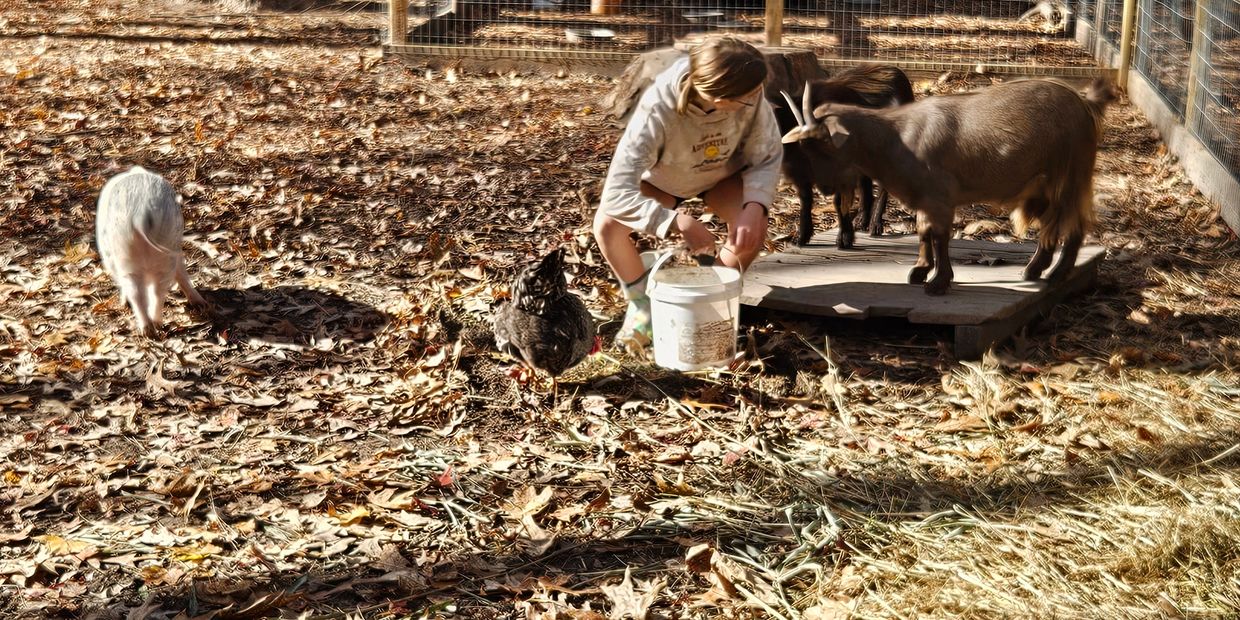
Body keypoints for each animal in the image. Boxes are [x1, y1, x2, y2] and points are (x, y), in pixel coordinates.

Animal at [770, 64, 914, 248]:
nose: (826, 188)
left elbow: (839, 201)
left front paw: (845, 238)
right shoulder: (799, 173)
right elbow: (805, 201)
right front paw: (801, 237)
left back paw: (875, 225)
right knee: (866, 182)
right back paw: (862, 220)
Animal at [782, 78, 1116, 295]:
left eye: (822, 145)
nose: (825, 188)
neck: (895, 136)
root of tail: (1086, 104)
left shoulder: (939, 197)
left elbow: (940, 238)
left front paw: (938, 282)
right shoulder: (924, 198)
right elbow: (923, 233)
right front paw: (919, 271)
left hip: (1071, 177)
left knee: (1074, 226)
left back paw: (1057, 275)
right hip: (1044, 186)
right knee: (1051, 227)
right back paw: (1033, 270)